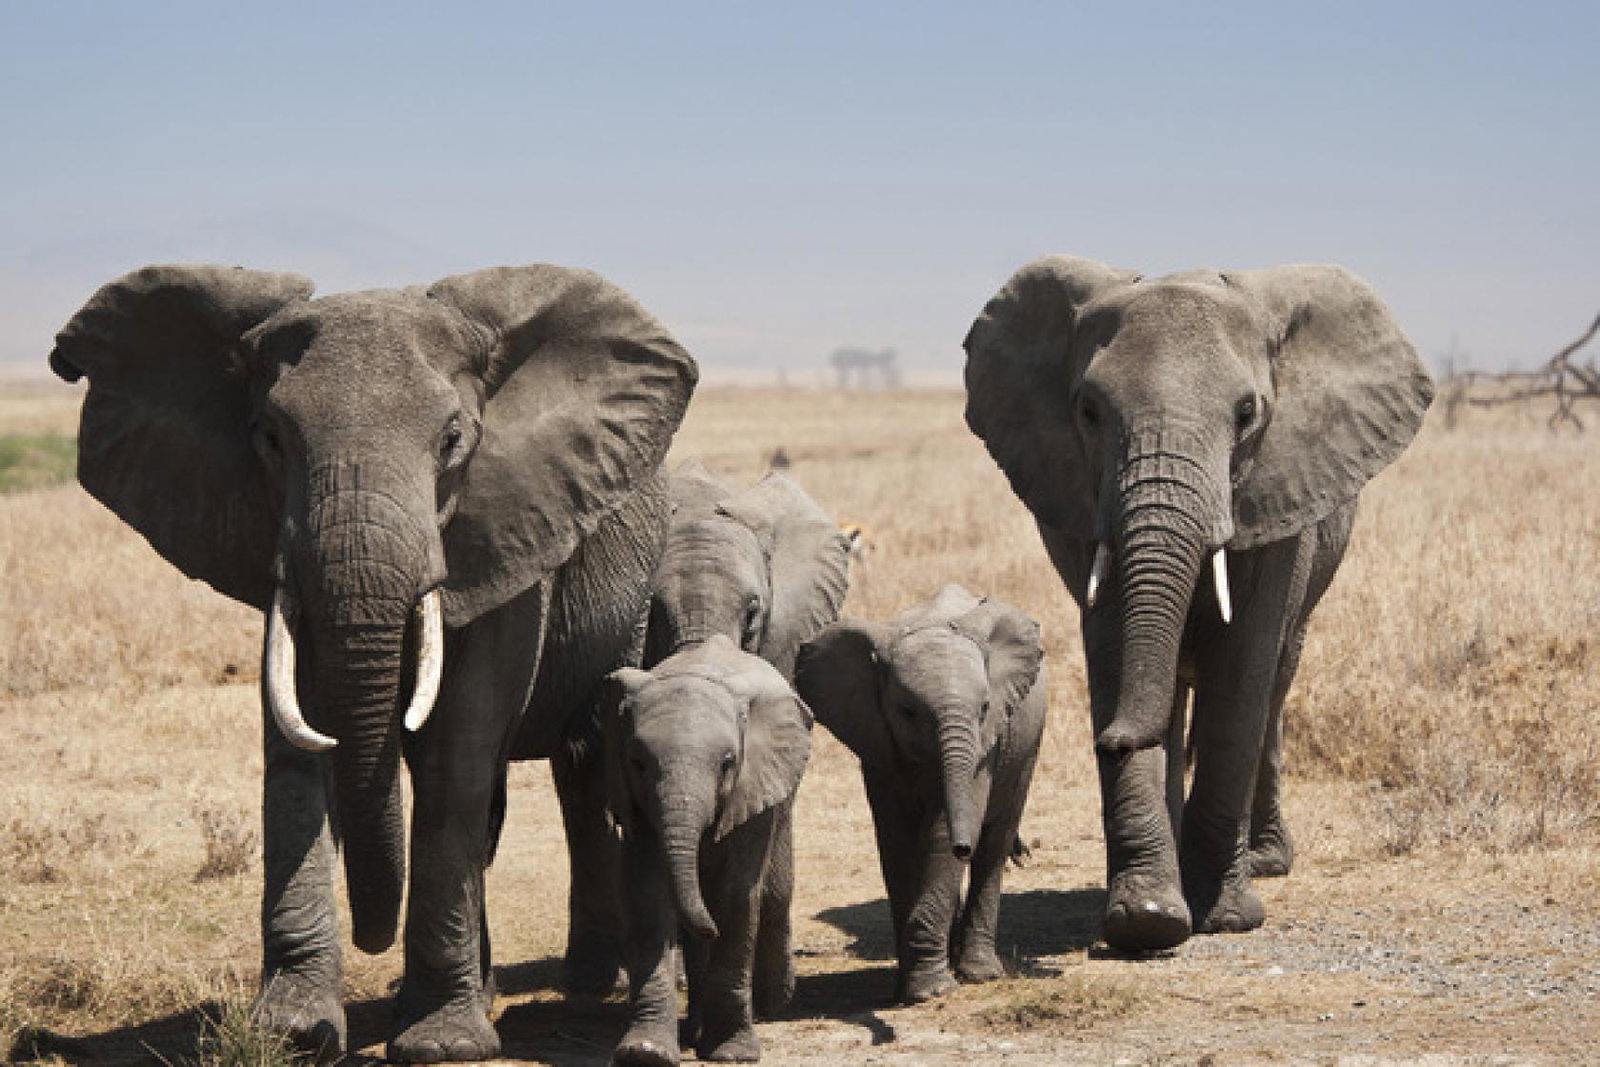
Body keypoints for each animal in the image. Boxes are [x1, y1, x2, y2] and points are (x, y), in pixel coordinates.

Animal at [47, 262, 697, 1061]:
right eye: (269, 438)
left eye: (453, 440)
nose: (371, 939)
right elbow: (297, 742)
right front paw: (294, 1030)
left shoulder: (513, 522)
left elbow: (459, 747)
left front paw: (441, 1042)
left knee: (581, 761)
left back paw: (583, 986)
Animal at [603, 635, 813, 1066]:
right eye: (638, 763)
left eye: (728, 763)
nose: (707, 928)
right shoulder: (633, 799)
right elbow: (647, 897)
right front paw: (645, 1053)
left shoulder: (752, 786)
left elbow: (735, 895)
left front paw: (733, 1054)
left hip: (783, 787)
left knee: (771, 890)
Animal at [795, 584, 1047, 1003]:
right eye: (907, 712)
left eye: (984, 709)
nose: (963, 847)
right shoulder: (878, 741)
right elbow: (895, 841)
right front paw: (911, 989)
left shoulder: (986, 749)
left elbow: (940, 831)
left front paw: (930, 990)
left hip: (1026, 749)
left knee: (994, 845)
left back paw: (979, 973)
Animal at [963, 255, 1433, 952]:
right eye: (1088, 411)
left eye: (1247, 413)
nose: (1112, 741)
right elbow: (1113, 644)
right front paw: (1146, 919)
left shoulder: (1279, 493)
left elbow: (1242, 670)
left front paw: (1227, 918)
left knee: (1275, 680)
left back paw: (1264, 860)